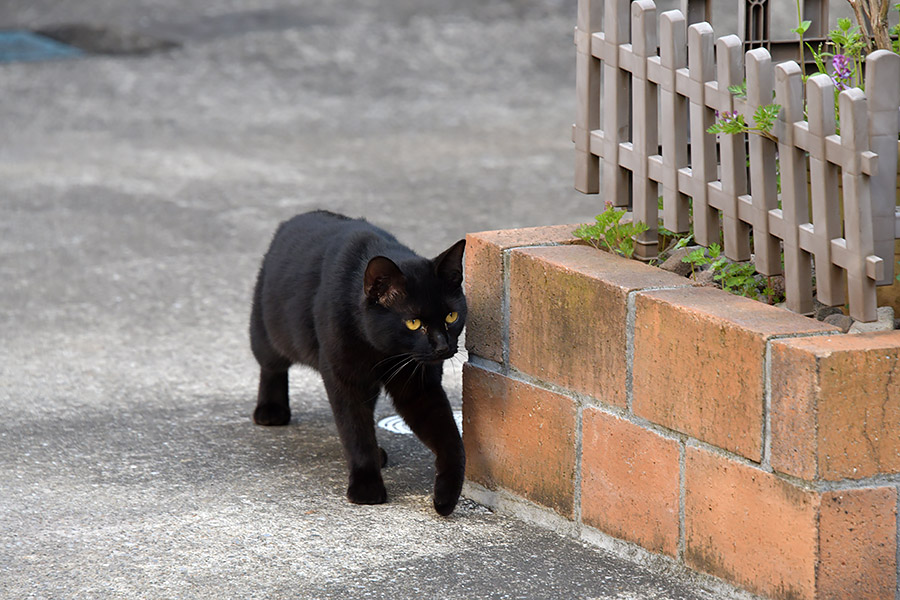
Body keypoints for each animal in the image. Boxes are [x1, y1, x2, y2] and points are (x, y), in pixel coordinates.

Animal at [250, 211, 468, 516]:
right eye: (413, 323)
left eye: (451, 316)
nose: (442, 346)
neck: (386, 353)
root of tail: (299, 217)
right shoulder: (344, 379)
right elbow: (355, 431)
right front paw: (366, 487)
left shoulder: (419, 385)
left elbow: (448, 435)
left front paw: (447, 495)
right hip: (269, 331)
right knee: (271, 366)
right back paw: (271, 410)